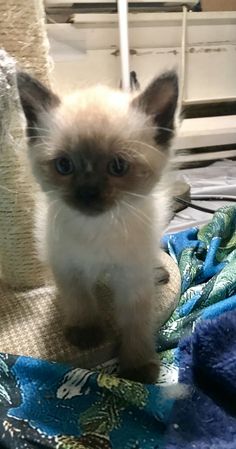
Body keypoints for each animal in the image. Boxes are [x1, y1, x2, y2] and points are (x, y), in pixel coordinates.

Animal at [17, 70, 177, 382]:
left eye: (118, 166)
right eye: (64, 166)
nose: (88, 193)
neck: (97, 230)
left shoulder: (131, 278)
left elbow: (136, 323)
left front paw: (138, 367)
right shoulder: (68, 265)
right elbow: (79, 299)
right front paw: (86, 333)